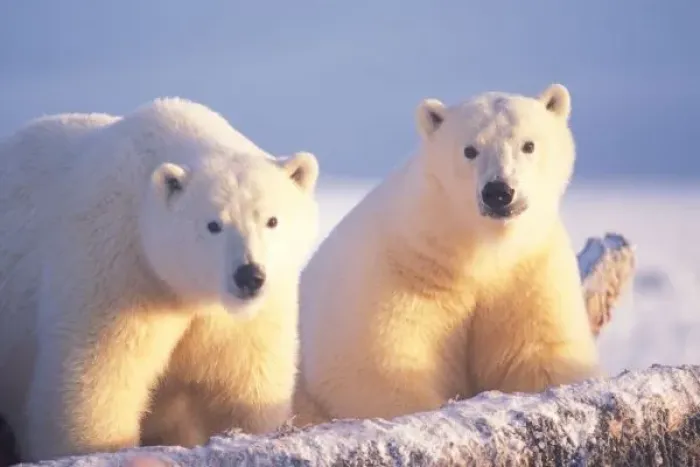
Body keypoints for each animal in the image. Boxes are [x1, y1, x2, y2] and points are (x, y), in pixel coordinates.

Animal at [0, 97, 319, 462]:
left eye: (272, 220)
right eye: (213, 224)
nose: (249, 276)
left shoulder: (248, 316)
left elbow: (245, 381)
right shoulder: (115, 269)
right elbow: (96, 380)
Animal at [293, 84, 600, 425]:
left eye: (528, 144)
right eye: (470, 150)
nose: (498, 192)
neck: (475, 251)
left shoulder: (529, 271)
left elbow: (542, 352)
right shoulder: (398, 274)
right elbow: (378, 369)